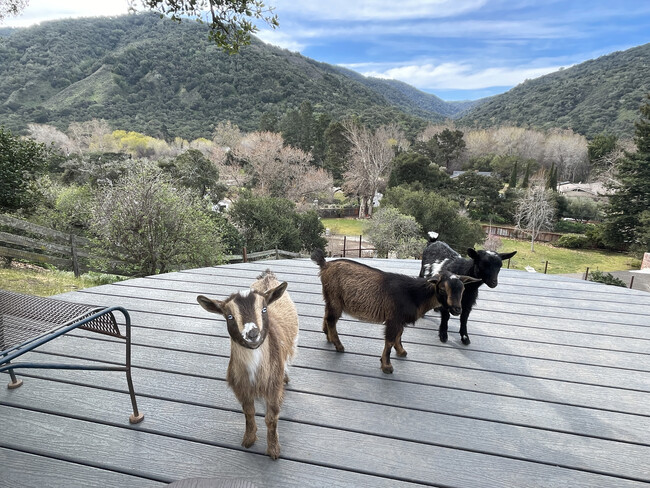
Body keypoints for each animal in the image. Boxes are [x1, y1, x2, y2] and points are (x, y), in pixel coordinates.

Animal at [197, 268, 298, 460]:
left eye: (264, 309)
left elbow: (271, 417)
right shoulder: (241, 387)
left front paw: (273, 450)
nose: (252, 334)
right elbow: (248, 412)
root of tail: (267, 276)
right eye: (229, 316)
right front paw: (249, 439)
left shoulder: (273, 386)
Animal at [308, 248, 476, 374]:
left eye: (462, 290)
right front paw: (387, 366)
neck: (414, 294)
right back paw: (339, 345)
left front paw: (401, 351)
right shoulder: (393, 318)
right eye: (442, 289)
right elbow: (389, 341)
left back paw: (329, 337)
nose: (457, 309)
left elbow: (399, 335)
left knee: (327, 315)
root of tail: (325, 265)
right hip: (335, 298)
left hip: (330, 297)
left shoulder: (399, 319)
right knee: (332, 319)